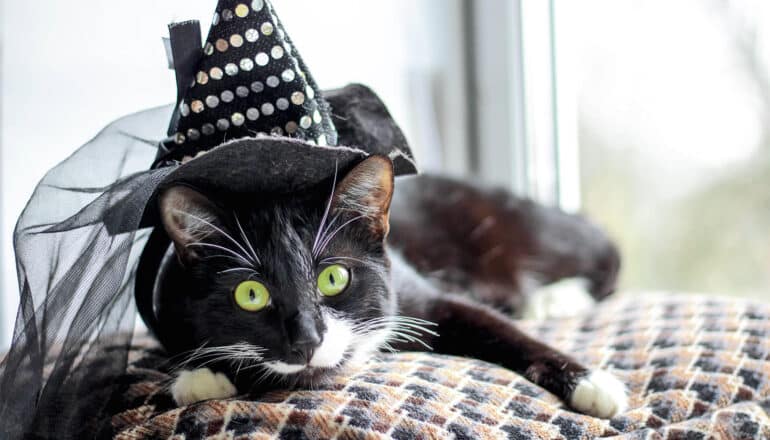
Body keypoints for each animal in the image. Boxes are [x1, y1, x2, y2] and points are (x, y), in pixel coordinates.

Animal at [154, 156, 624, 418]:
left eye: (334, 278)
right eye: (251, 294)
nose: (307, 339)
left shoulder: (423, 295)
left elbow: (498, 329)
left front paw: (592, 382)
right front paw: (202, 377)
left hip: (520, 230)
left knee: (603, 252)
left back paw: (555, 298)